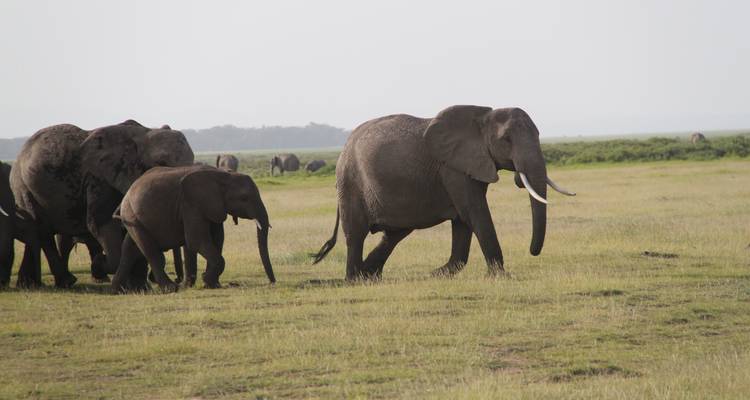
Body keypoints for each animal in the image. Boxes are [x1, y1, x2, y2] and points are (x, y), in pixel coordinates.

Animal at [10, 120, 194, 288]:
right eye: (161, 164)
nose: (180, 282)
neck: (143, 134)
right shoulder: (98, 180)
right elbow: (100, 223)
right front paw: (100, 264)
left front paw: (139, 287)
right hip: (24, 188)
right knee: (43, 232)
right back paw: (65, 281)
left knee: (36, 233)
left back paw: (28, 284)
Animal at [112, 165, 275, 292]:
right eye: (244, 198)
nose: (272, 282)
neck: (223, 175)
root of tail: (126, 194)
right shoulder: (191, 204)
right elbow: (197, 240)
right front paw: (207, 280)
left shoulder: (212, 206)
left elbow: (216, 239)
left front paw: (212, 284)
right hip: (132, 215)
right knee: (150, 252)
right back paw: (171, 288)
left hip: (134, 218)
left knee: (129, 250)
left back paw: (118, 290)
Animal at [312, 105, 575, 281]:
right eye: (506, 139)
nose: (532, 251)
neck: (482, 118)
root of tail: (344, 148)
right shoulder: (453, 168)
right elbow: (474, 212)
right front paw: (500, 276)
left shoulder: (469, 165)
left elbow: (463, 219)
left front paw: (438, 274)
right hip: (350, 182)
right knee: (356, 234)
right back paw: (355, 278)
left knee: (394, 233)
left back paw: (370, 275)